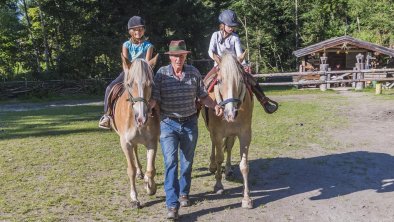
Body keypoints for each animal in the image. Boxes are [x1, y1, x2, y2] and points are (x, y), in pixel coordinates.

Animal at [112, 53, 159, 208]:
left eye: (150, 84)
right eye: (129, 84)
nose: (141, 117)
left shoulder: (152, 142)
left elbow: (151, 169)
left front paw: (150, 187)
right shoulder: (126, 143)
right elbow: (131, 170)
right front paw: (134, 198)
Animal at [202, 51, 254, 208]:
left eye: (241, 80)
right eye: (219, 81)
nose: (231, 114)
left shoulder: (245, 134)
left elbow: (244, 165)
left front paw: (246, 198)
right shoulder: (217, 133)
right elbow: (220, 158)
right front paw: (218, 186)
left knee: (229, 147)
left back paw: (229, 169)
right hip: (212, 132)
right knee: (214, 145)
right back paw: (212, 166)